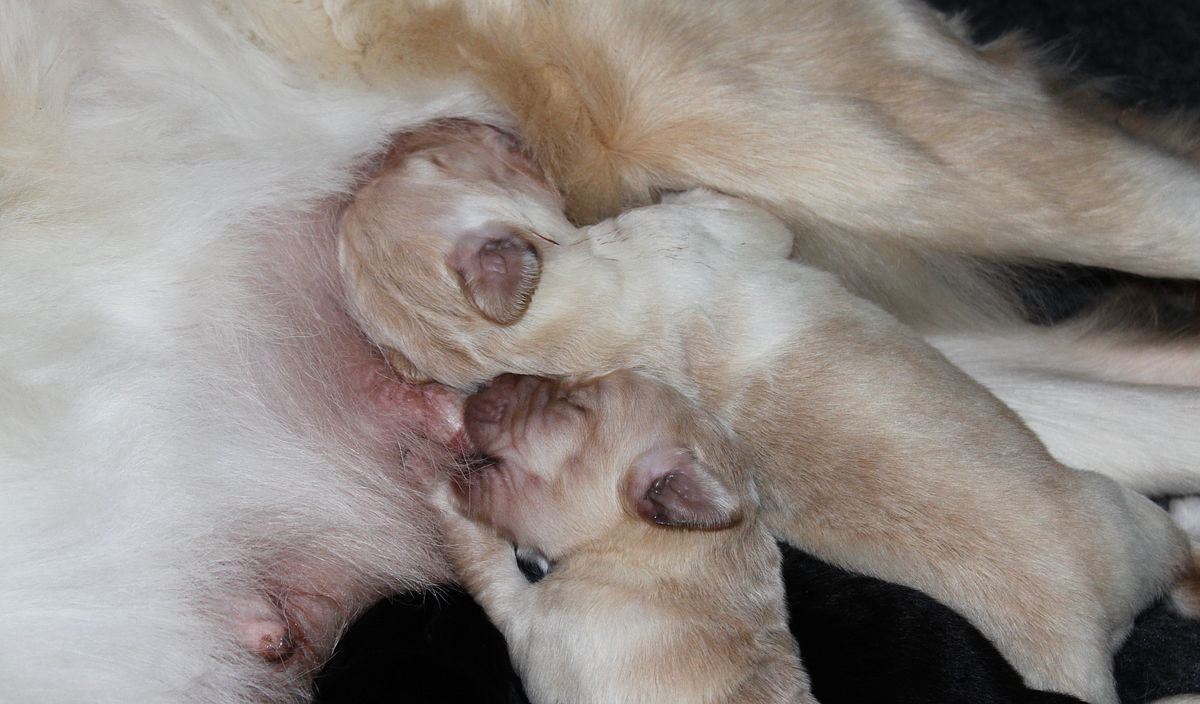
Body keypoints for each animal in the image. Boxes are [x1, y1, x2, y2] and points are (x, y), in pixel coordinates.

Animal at [337, 125, 1198, 704]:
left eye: (414, 162)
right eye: (437, 162)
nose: (408, 130)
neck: (517, 329)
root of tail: (1087, 643)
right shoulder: (715, 231)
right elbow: (740, 212)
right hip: (1122, 515)